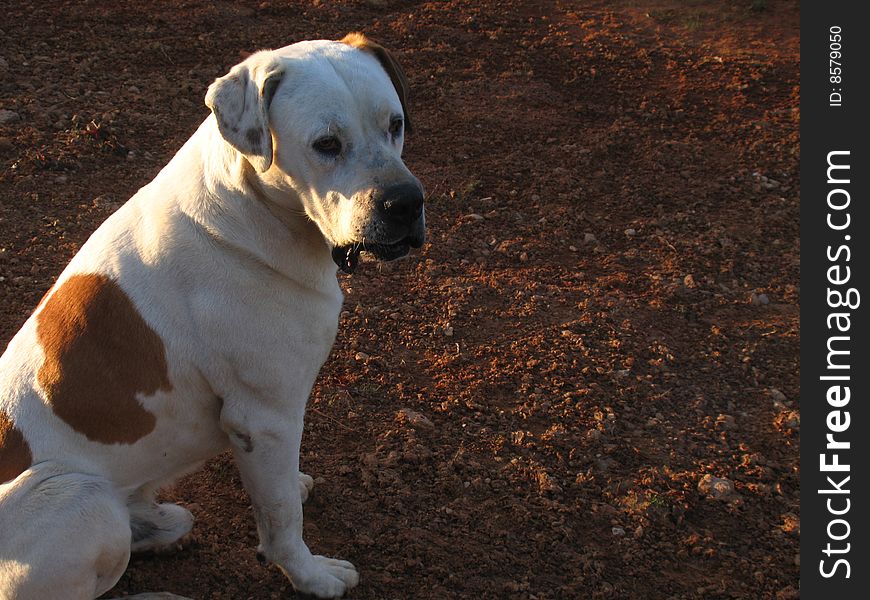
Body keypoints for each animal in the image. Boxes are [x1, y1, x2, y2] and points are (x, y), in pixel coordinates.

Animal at [0, 34, 426, 600]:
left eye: (394, 124)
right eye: (326, 144)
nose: (406, 203)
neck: (252, 205)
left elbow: (279, 493)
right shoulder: (263, 418)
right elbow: (281, 520)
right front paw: (311, 576)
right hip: (81, 498)